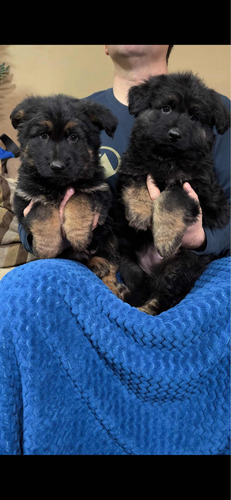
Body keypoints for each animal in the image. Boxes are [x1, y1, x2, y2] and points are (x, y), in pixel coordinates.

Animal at [11, 95, 121, 294]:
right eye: (43, 135)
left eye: (74, 137)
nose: (57, 167)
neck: (58, 185)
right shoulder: (25, 198)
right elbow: (42, 209)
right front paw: (47, 246)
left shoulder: (99, 192)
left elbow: (79, 197)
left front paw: (78, 234)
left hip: (110, 236)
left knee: (111, 263)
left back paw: (105, 272)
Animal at [116, 72, 230, 314]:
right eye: (166, 108)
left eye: (194, 117)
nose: (174, 134)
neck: (167, 158)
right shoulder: (134, 167)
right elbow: (138, 182)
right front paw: (139, 213)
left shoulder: (194, 189)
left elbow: (170, 198)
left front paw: (165, 237)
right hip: (127, 254)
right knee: (140, 285)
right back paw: (126, 293)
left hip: (183, 265)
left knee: (163, 295)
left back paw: (146, 309)